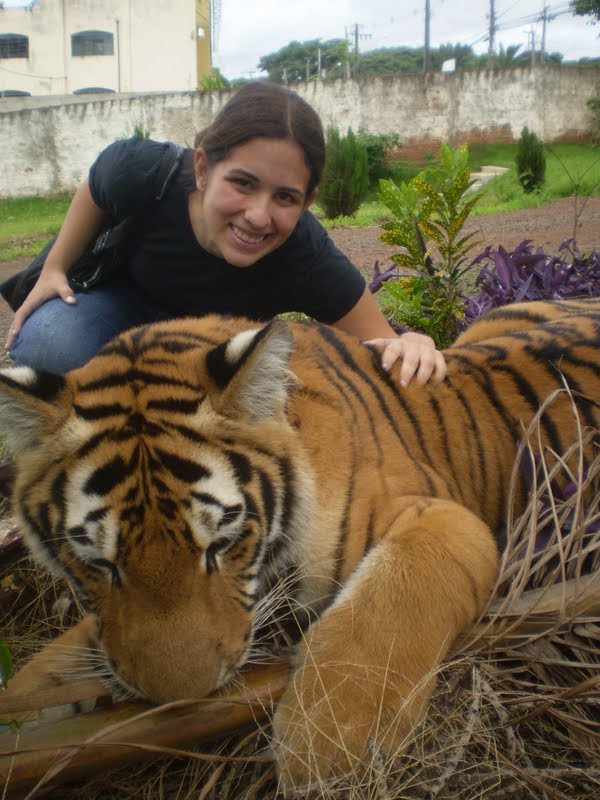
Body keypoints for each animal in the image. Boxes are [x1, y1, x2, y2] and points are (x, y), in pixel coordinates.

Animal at [0, 297, 598, 791]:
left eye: (220, 545)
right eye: (99, 563)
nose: (180, 699)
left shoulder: (444, 516)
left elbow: (388, 607)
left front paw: (327, 743)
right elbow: (61, 659)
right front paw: (23, 711)